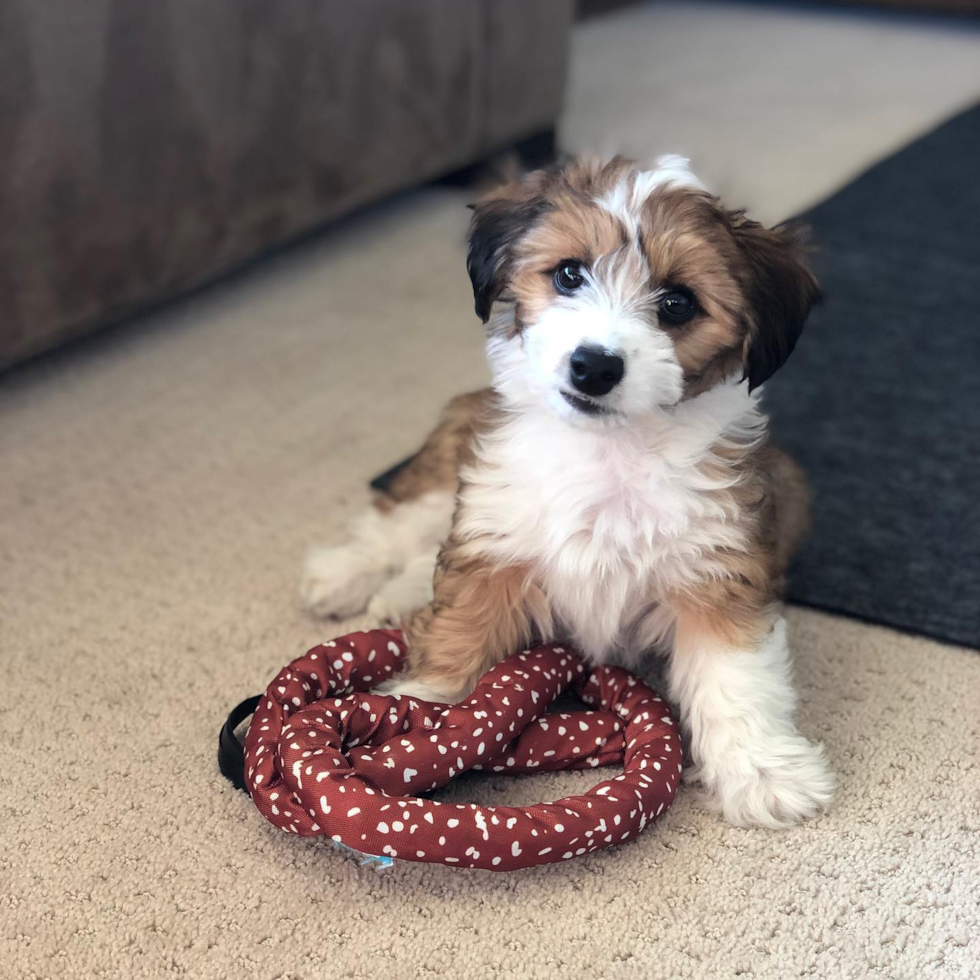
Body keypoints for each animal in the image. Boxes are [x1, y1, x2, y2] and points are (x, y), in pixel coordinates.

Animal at [304, 155, 836, 828]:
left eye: (677, 303)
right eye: (569, 274)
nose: (594, 366)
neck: (608, 450)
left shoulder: (716, 569)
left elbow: (736, 677)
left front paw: (764, 773)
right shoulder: (494, 543)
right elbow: (458, 637)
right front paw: (423, 718)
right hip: (454, 473)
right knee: (397, 526)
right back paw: (342, 575)